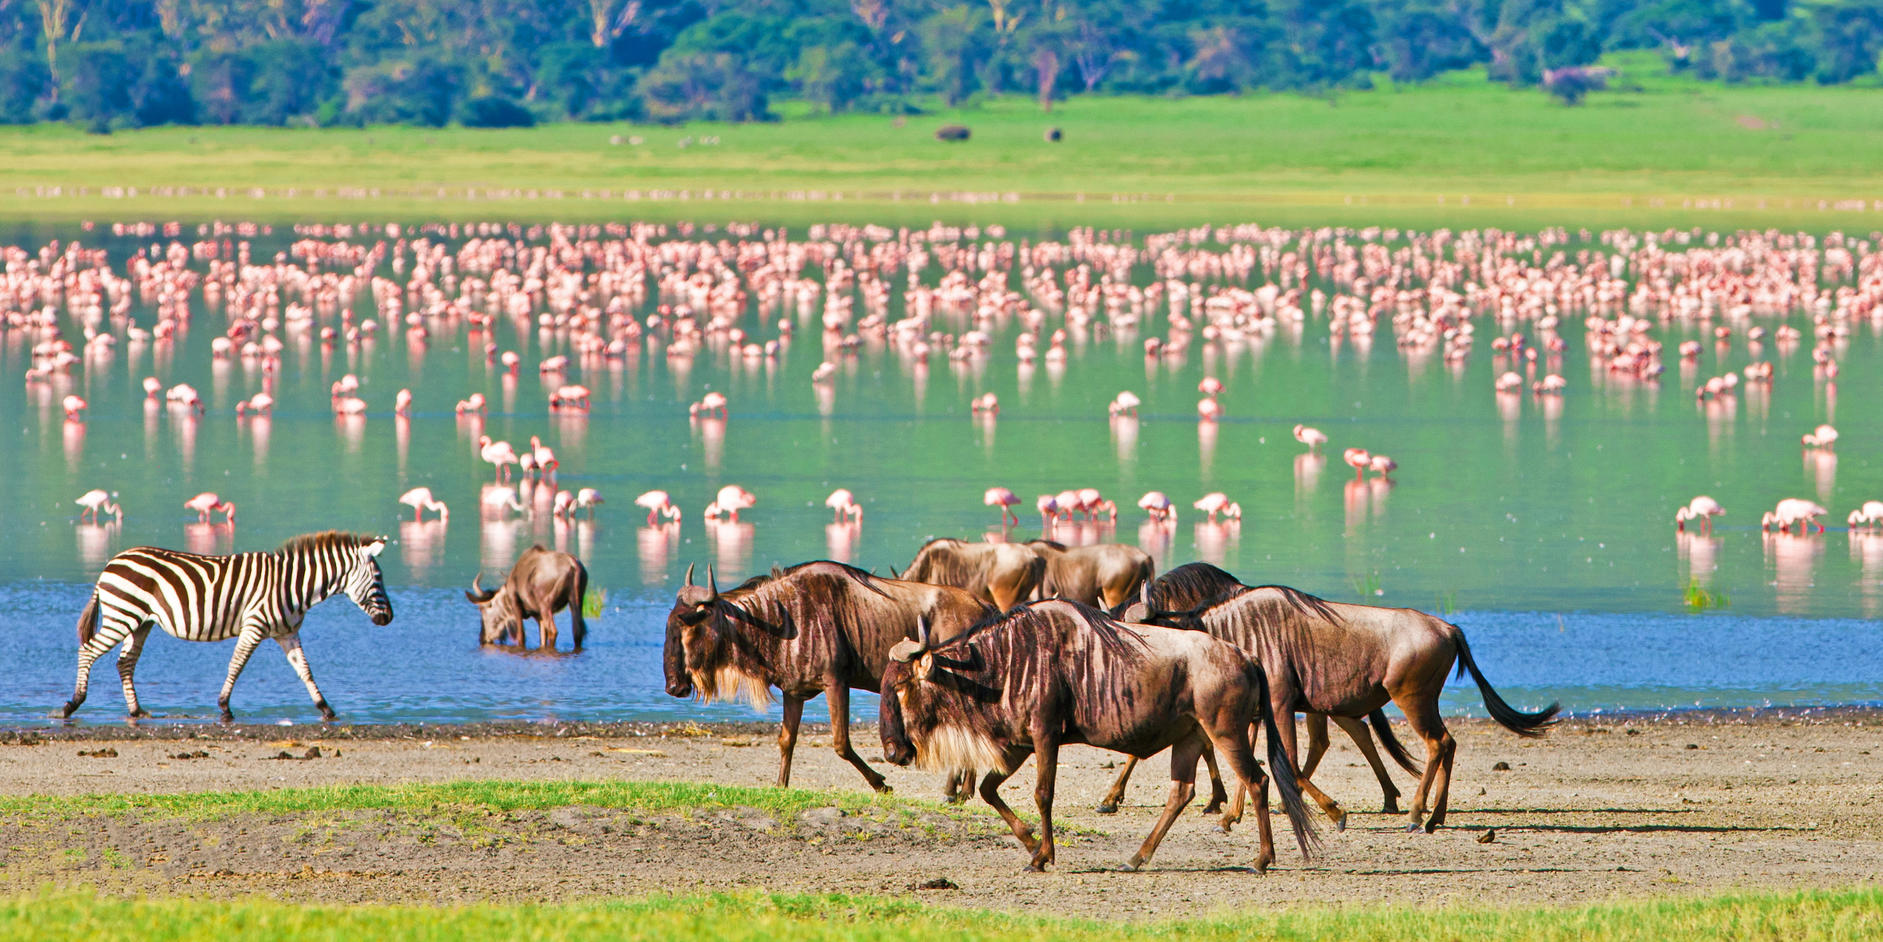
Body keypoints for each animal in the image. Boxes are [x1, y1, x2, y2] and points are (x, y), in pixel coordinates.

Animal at [60, 531, 395, 719]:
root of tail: (111, 563)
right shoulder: (254, 626)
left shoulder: (287, 633)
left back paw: (136, 711)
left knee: (125, 663)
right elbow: (237, 664)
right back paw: (73, 704)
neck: (292, 585)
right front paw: (224, 707)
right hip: (122, 616)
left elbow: (305, 670)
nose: (389, 619)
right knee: (88, 651)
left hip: (140, 622)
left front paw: (325, 708)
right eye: (378, 579)